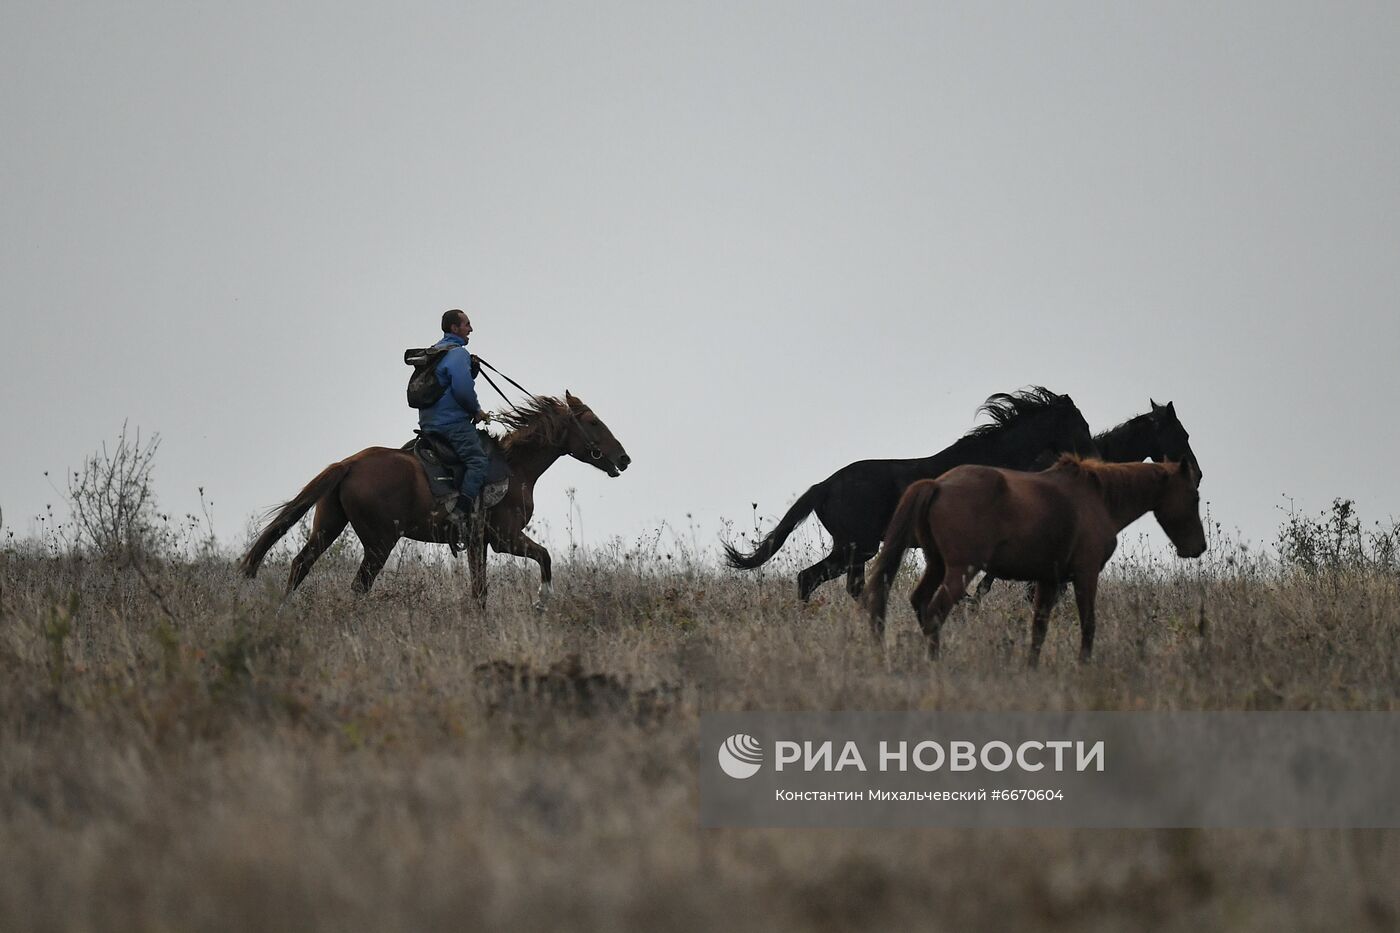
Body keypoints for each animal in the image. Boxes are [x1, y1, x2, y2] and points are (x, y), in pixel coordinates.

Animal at [238, 389, 632, 602]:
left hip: (328, 526)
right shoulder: (505, 538)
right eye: (593, 422)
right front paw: (542, 600)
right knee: (359, 584)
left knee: (301, 564)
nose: (624, 459)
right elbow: (545, 557)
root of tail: (349, 463)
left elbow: (479, 589)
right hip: (380, 542)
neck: (515, 466)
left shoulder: (478, 542)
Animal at [728, 383, 1097, 596]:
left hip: (855, 550)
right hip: (855, 547)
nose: (1094, 458)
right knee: (811, 578)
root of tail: (824, 486)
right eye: (1082, 424)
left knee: (843, 585)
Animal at [862, 456, 1204, 661]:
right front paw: (1084, 666)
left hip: (937, 565)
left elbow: (1039, 628)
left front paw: (1032, 668)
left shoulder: (1048, 580)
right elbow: (1088, 624)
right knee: (935, 611)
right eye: (1194, 495)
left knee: (920, 602)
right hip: (960, 571)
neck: (1097, 499)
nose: (1198, 547)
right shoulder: (1086, 574)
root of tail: (938, 484)